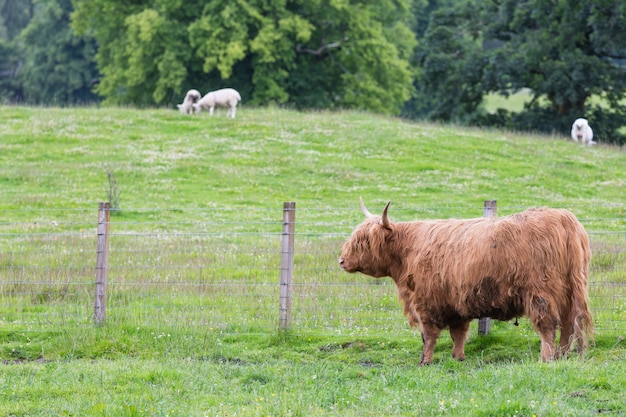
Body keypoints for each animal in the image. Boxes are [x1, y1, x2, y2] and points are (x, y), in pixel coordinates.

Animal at [338, 198, 592, 364]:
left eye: (362, 242)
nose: (341, 260)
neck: (407, 251)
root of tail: (565, 219)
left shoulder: (425, 303)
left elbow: (428, 335)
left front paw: (425, 361)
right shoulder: (455, 302)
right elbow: (458, 333)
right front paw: (457, 357)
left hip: (541, 293)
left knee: (548, 325)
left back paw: (546, 358)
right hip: (570, 291)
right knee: (568, 325)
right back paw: (561, 356)